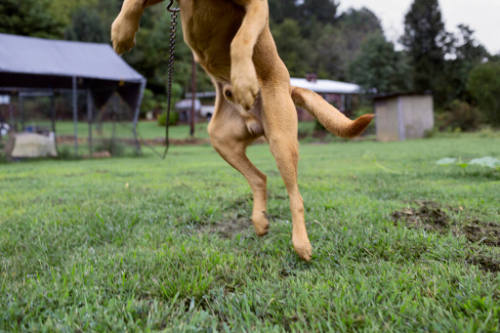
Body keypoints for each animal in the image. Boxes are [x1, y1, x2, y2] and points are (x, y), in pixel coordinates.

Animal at [111, 0, 374, 260]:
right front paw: (121, 32)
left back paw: (301, 243)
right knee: (259, 178)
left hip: (281, 141)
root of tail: (289, 88)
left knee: (295, 197)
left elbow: (241, 38)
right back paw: (260, 220)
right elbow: (132, 2)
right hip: (220, 139)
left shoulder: (256, 7)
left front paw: (244, 80)